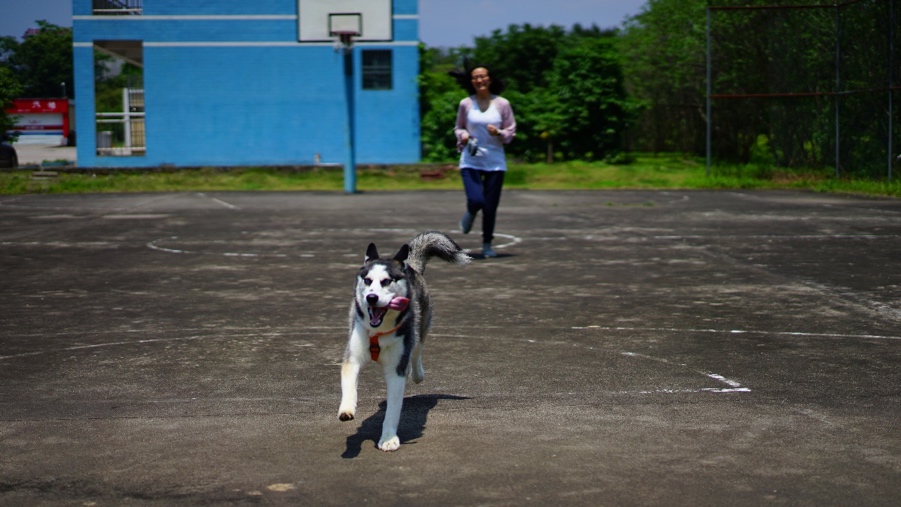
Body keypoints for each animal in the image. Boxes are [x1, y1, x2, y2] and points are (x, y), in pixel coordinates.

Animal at [340, 232, 472, 450]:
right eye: (367, 280)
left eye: (386, 281)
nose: (371, 297)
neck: (379, 331)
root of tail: (410, 265)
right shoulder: (353, 356)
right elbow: (349, 384)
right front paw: (347, 409)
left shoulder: (396, 370)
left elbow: (393, 410)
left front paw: (388, 439)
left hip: (420, 327)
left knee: (417, 351)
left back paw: (417, 372)